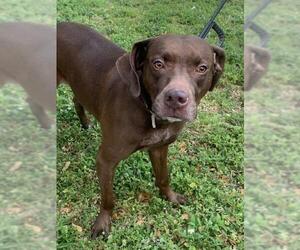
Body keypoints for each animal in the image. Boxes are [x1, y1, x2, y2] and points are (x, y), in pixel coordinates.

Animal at [56, 22, 225, 238]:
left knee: (77, 99)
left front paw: (170, 196)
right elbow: (108, 198)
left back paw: (85, 122)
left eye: (202, 68)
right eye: (158, 63)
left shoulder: (160, 148)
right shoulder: (106, 160)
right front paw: (103, 222)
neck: (149, 112)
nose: (176, 98)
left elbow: (163, 177)